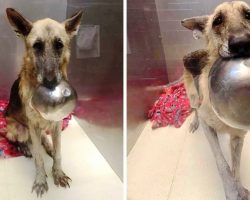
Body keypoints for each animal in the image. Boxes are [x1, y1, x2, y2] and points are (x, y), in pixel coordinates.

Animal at [4, 8, 83, 197]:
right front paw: (40, 180)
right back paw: (25, 148)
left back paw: (48, 146)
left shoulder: (57, 124)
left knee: (44, 140)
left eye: (59, 45)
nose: (50, 82)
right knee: (18, 140)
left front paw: (58, 173)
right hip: (19, 129)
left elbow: (59, 153)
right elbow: (39, 158)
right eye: (37, 46)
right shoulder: (32, 126)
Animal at [181, 0, 250, 199]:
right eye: (217, 21)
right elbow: (222, 164)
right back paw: (193, 122)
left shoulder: (239, 137)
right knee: (194, 108)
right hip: (192, 96)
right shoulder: (208, 127)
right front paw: (230, 191)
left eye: (248, 14)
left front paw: (239, 188)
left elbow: (236, 168)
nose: (242, 43)